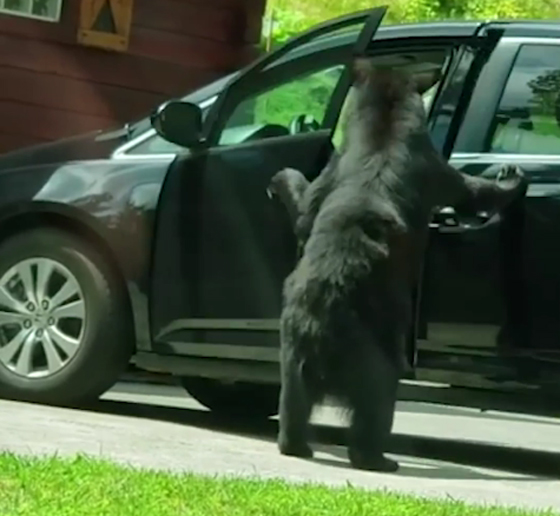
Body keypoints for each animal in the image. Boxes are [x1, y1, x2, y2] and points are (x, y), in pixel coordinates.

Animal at [270, 58, 528, 474]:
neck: (381, 135)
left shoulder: (336, 168)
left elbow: (306, 207)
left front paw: (282, 178)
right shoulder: (429, 167)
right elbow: (469, 191)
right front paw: (510, 177)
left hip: (293, 347)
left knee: (293, 398)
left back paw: (295, 445)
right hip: (370, 348)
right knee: (378, 398)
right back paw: (377, 457)